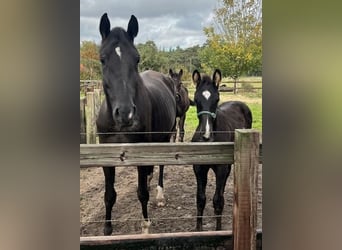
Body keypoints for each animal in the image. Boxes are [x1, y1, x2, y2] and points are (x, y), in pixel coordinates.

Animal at [191, 69, 252, 231]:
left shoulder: (221, 168)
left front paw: (218, 230)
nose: (206, 135)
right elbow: (200, 199)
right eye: (196, 99)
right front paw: (198, 230)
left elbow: (217, 200)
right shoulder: (199, 168)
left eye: (217, 99)